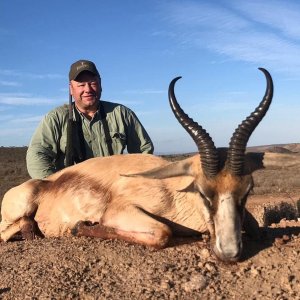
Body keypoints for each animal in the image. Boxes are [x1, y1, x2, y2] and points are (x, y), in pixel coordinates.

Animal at [0, 67, 282, 260]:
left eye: (247, 191)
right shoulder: (120, 211)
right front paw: (81, 226)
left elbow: (256, 227)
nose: (229, 252)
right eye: (202, 192)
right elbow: (162, 232)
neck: (174, 190)